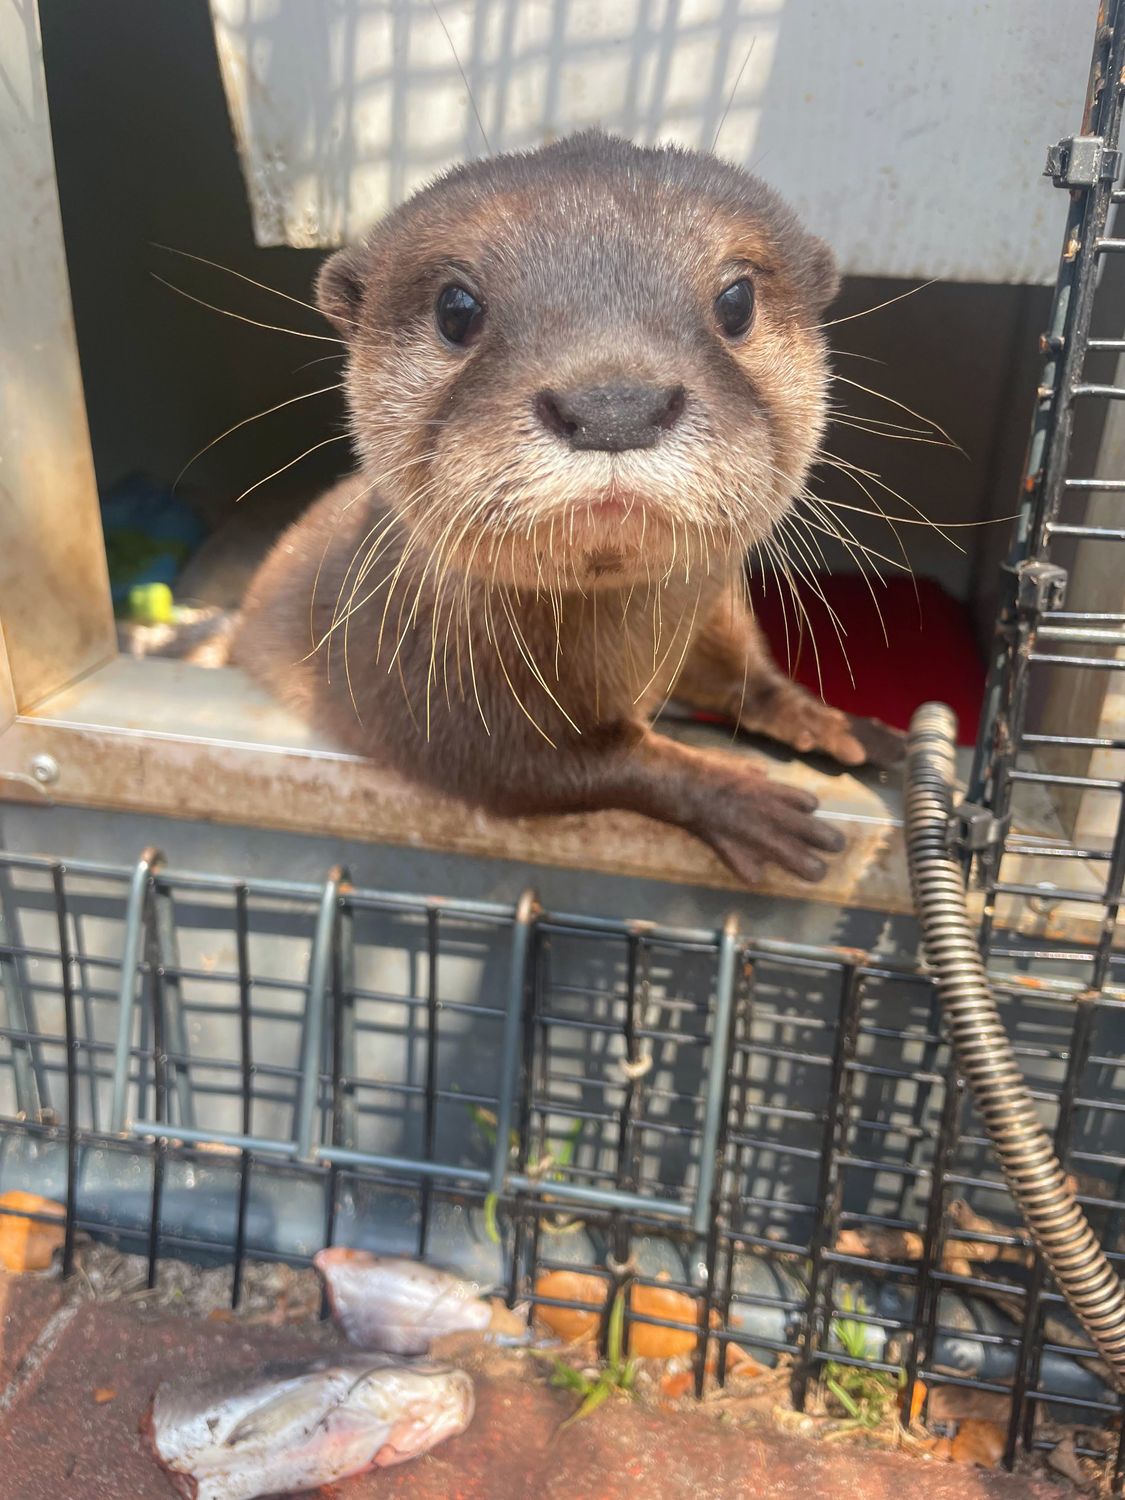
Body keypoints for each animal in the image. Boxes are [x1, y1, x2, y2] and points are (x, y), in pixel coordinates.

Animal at [236, 132, 899, 886]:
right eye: (456, 309)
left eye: (736, 301)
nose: (614, 405)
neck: (627, 648)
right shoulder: (431, 696)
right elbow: (572, 764)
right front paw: (735, 797)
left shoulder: (708, 611)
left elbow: (742, 674)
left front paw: (832, 720)